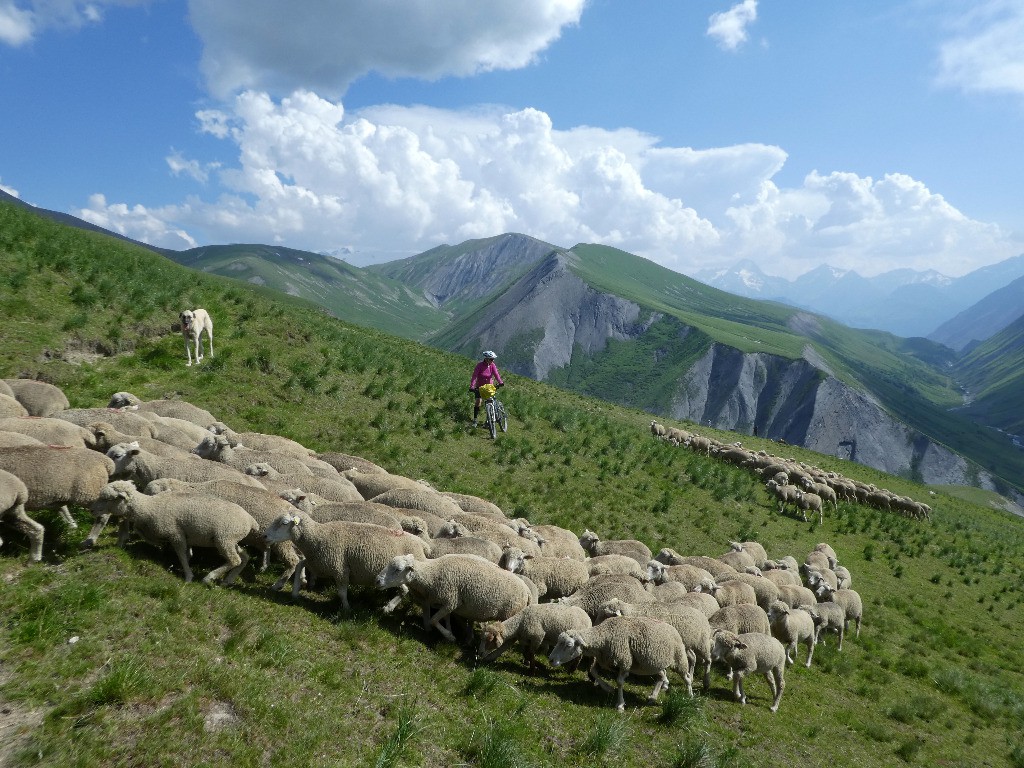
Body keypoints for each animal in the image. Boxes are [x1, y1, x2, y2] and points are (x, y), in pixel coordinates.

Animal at [91, 481, 256, 581]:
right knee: (244, 557)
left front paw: (188, 576)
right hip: (228, 540)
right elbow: (185, 554)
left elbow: (182, 556)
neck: (149, 507)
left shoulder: (175, 534)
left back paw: (209, 577)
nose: (92, 509)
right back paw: (228, 580)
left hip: (224, 538)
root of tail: (250, 520)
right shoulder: (181, 535)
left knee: (234, 560)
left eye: (109, 499)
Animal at [268, 512, 428, 614]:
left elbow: (342, 593)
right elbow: (300, 564)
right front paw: (295, 591)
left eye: (283, 523)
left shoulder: (339, 568)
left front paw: (346, 609)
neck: (317, 537)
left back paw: (388, 608)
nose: (264, 535)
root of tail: (421, 544)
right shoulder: (318, 562)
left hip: (399, 575)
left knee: (404, 590)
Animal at [548, 618, 692, 712]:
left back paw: (690, 696)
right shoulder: (604, 660)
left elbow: (620, 682)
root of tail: (673, 628)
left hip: (679, 658)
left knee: (687, 677)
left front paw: (620, 705)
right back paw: (653, 697)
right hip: (653, 663)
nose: (550, 660)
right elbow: (593, 671)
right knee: (662, 676)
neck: (603, 637)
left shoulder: (624, 661)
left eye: (569, 645)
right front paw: (608, 688)